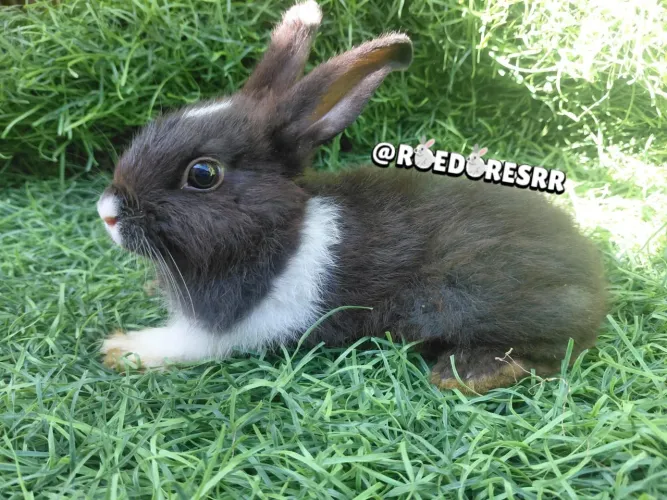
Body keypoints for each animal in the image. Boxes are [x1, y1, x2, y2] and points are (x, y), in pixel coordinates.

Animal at [97, 0, 607, 394]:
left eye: (202, 174)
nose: (107, 213)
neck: (281, 230)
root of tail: (593, 277)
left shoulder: (234, 328)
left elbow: (185, 343)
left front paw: (122, 349)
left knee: (553, 351)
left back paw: (463, 373)